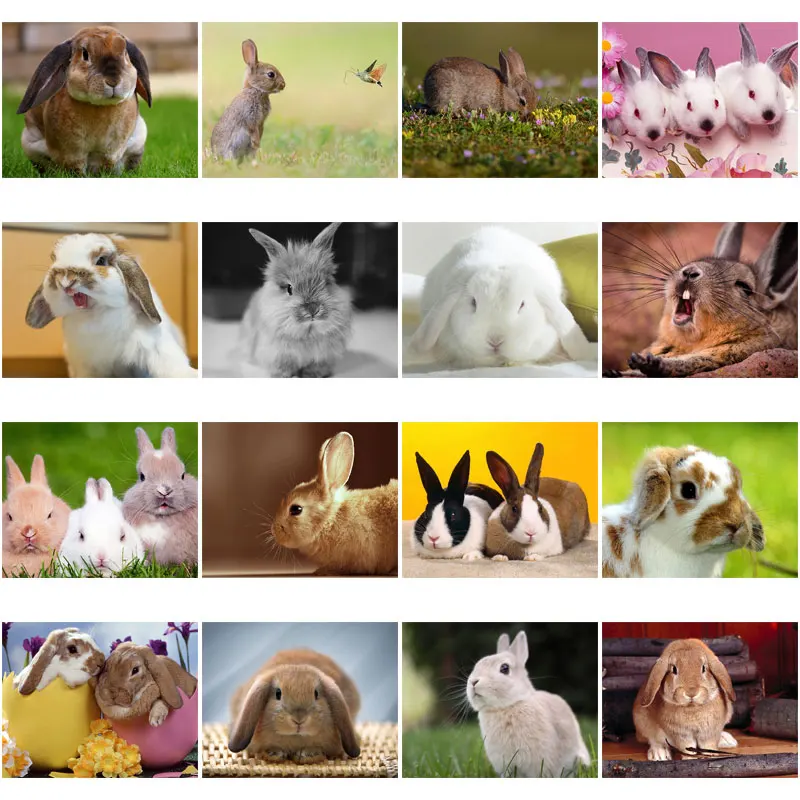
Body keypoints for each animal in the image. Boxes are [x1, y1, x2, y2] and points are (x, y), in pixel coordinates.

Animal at [17, 25, 151, 175]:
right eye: (85, 54)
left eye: (125, 53)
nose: (113, 81)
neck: (99, 107)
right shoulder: (71, 152)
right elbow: (76, 167)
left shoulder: (109, 152)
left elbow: (105, 164)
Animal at [24, 233, 197, 378]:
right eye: (54, 259)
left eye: (101, 261)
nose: (66, 281)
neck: (95, 313)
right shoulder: (87, 363)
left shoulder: (152, 345)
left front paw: (190, 375)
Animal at [238, 223, 353, 378]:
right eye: (289, 288)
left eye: (325, 282)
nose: (312, 309)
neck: (307, 331)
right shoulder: (278, 354)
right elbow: (283, 368)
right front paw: (287, 376)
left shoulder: (323, 356)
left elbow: (315, 368)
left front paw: (311, 376)